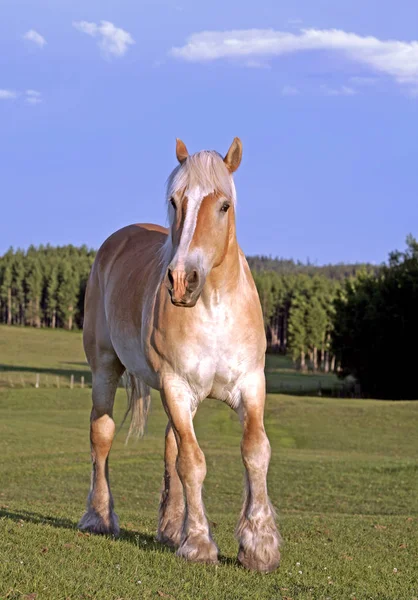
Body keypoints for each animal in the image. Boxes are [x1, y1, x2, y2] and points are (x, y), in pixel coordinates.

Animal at [78, 138, 280, 576]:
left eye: (224, 205)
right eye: (175, 201)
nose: (182, 279)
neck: (215, 307)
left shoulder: (250, 385)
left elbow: (255, 451)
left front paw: (259, 546)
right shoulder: (176, 386)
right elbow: (193, 461)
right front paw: (200, 544)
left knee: (170, 445)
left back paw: (171, 528)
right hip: (105, 369)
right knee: (102, 435)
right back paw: (98, 517)